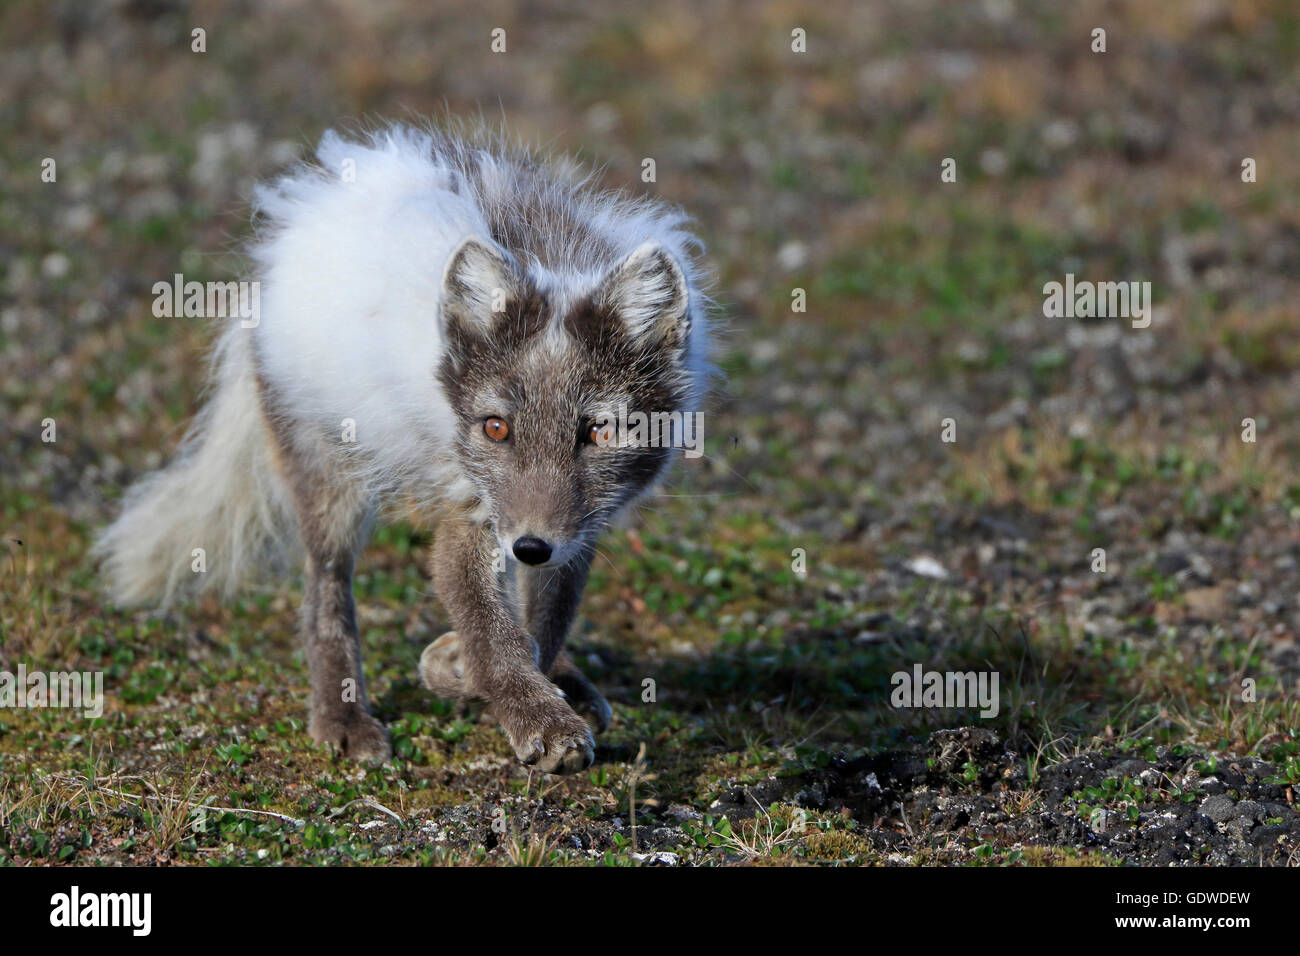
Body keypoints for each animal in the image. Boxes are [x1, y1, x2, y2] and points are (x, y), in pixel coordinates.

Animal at [94, 122, 716, 774]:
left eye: (598, 431)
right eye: (496, 428)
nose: (529, 546)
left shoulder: (575, 528)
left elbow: (545, 622)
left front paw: (499, 673)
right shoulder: (467, 506)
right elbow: (489, 631)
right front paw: (526, 710)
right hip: (327, 473)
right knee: (325, 589)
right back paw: (342, 717)